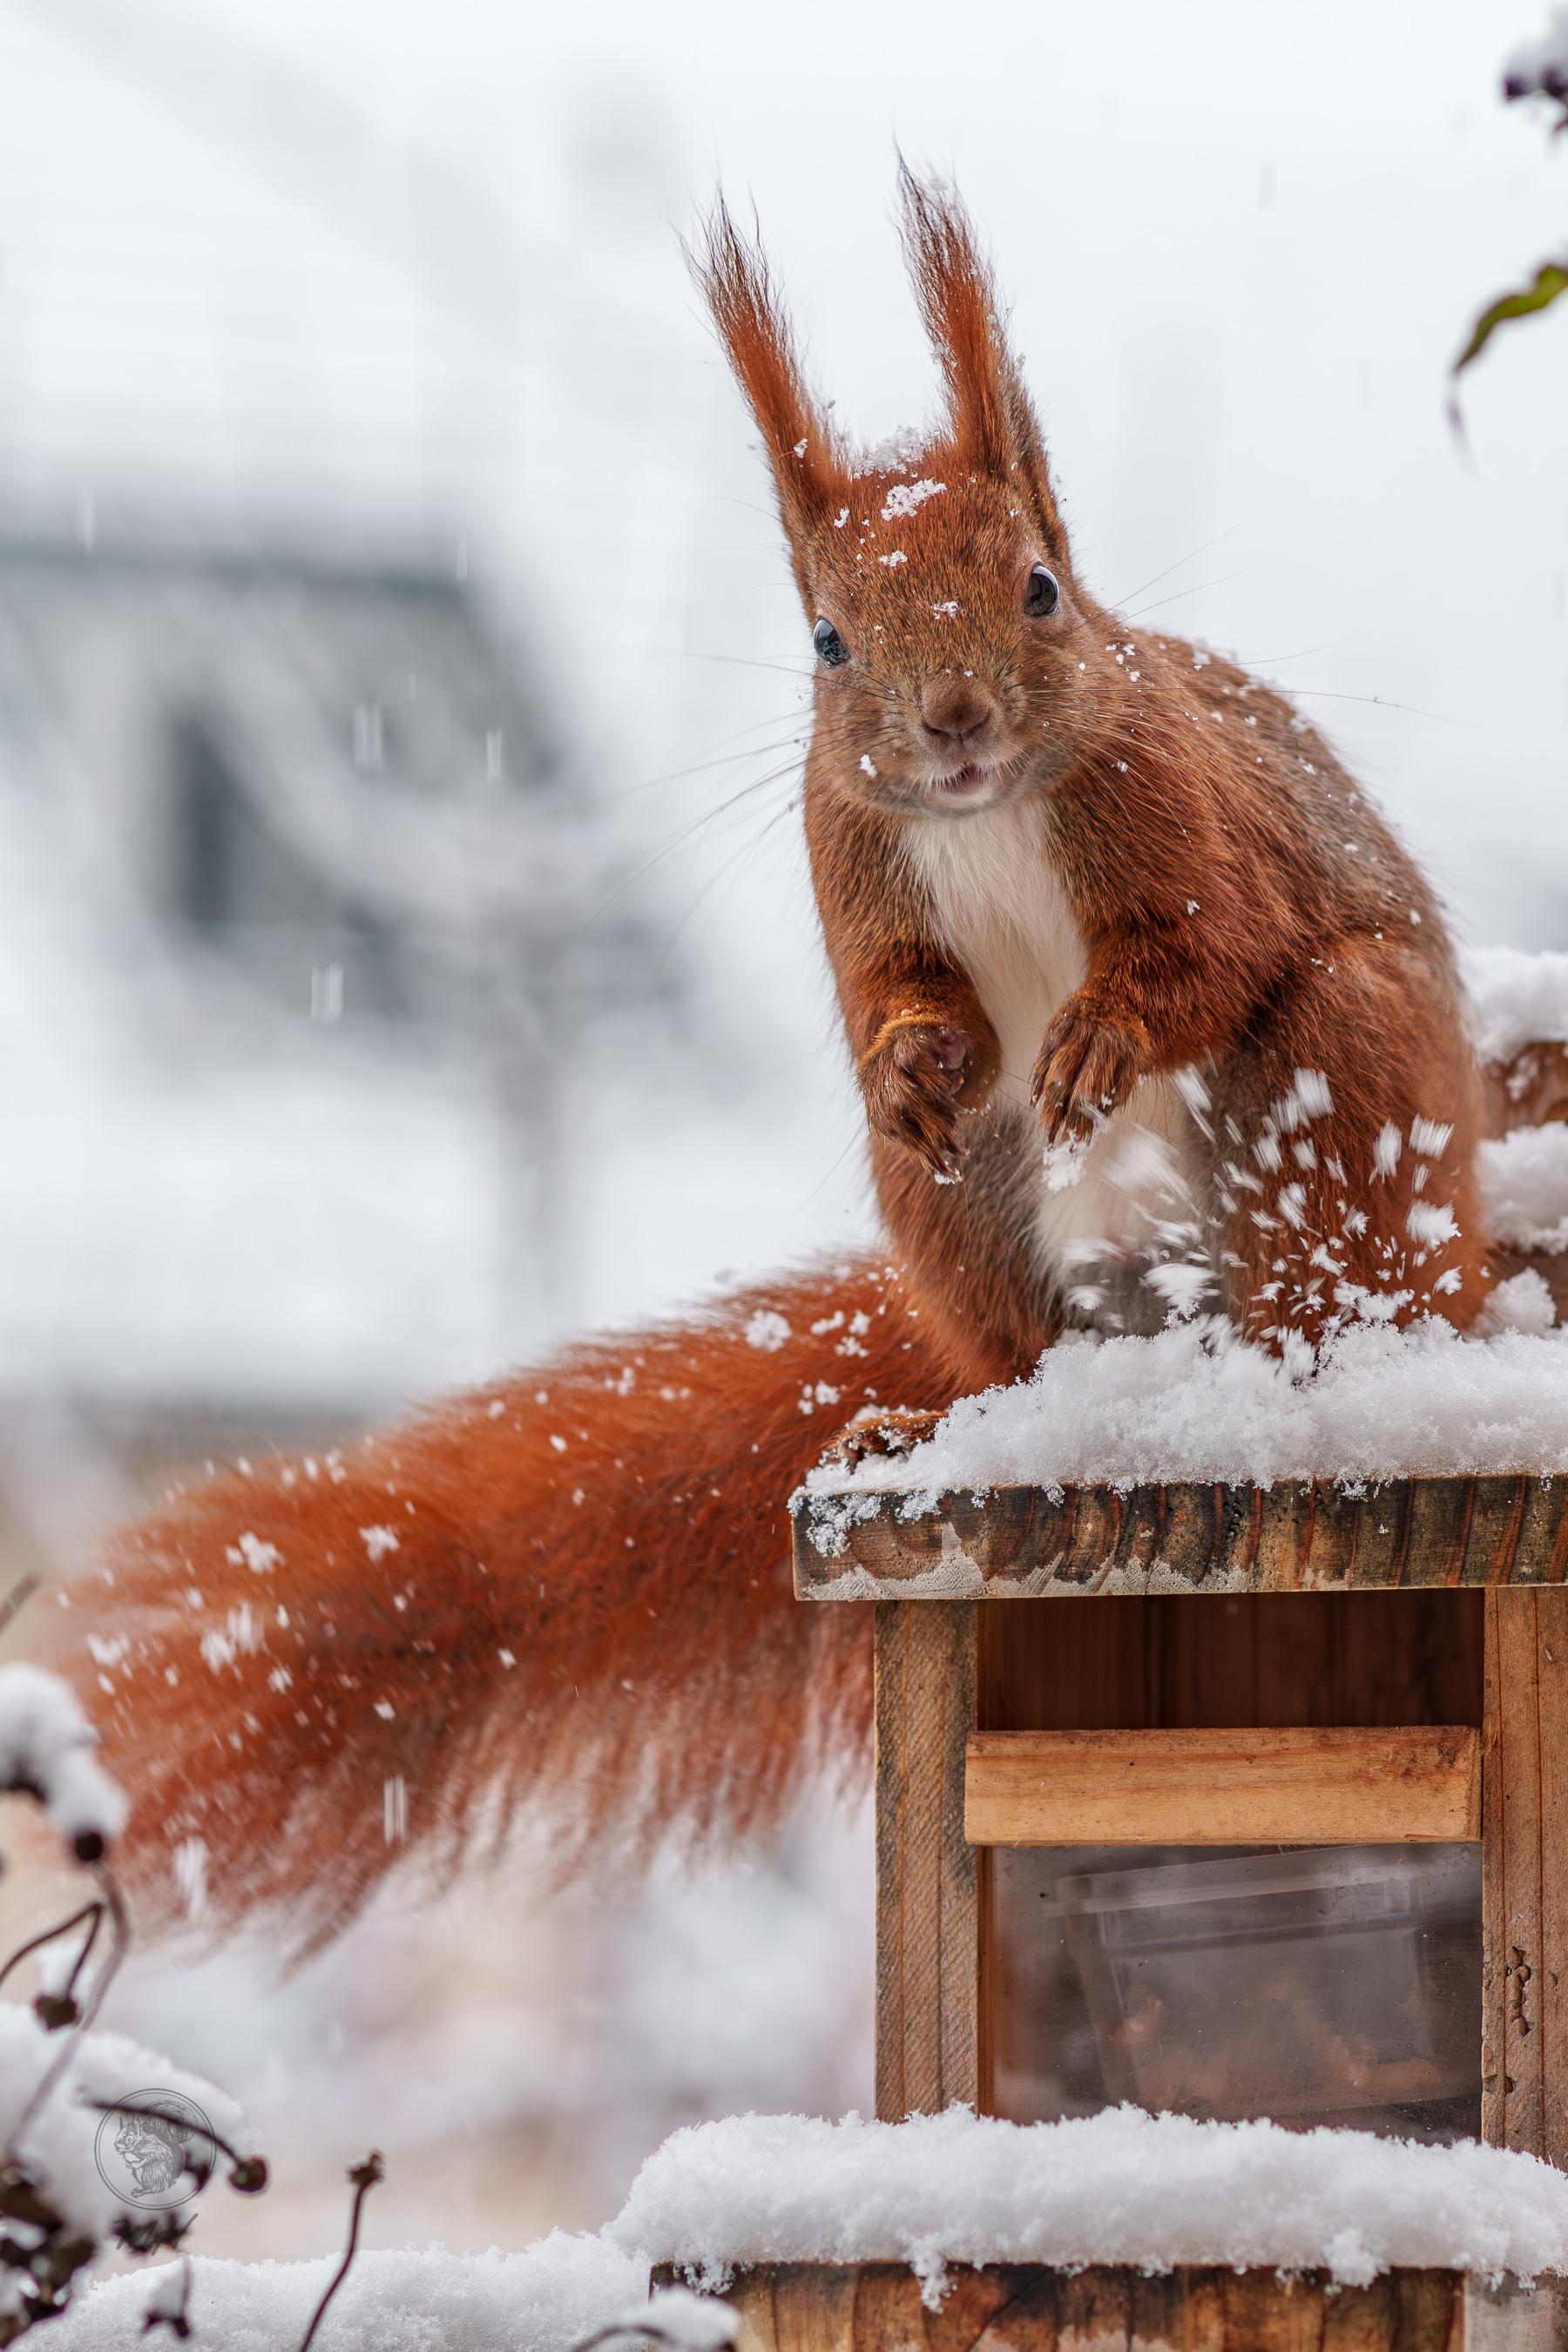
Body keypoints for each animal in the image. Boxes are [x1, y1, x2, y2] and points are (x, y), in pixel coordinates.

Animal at [60, 174, 1490, 1948]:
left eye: (1039, 588)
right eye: (825, 639)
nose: (951, 723)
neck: (990, 817)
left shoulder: (1193, 818)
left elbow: (1209, 949)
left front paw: (1101, 1030)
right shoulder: (857, 875)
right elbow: (905, 1003)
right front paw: (914, 1060)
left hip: (1344, 1078)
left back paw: (1306, 1379)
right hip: (966, 1215)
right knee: (1018, 1335)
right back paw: (955, 1422)